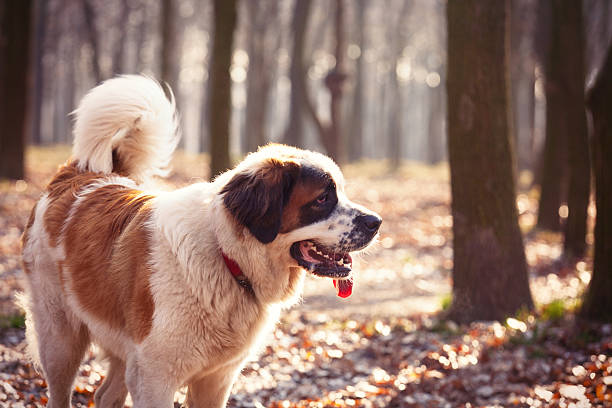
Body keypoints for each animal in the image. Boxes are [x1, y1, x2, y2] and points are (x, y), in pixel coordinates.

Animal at [21, 75, 380, 406]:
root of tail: (79, 174)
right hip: (60, 339)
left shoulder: (215, 379)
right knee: (60, 390)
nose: (375, 222)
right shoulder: (154, 378)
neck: (226, 256)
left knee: (106, 394)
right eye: (323, 199)